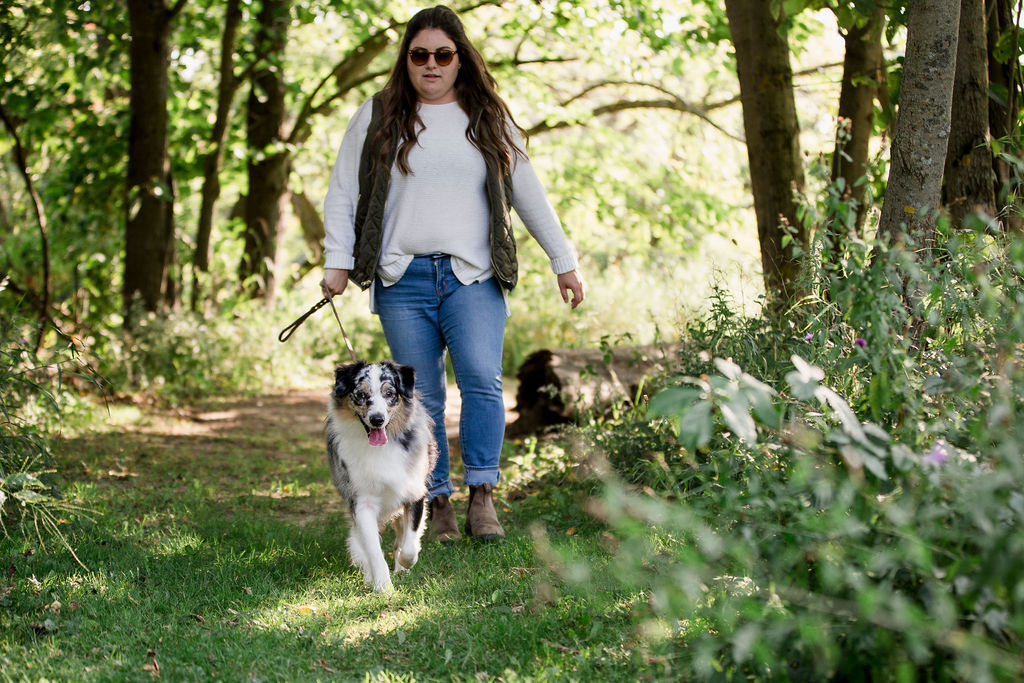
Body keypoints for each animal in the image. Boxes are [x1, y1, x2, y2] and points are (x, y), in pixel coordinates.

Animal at [325, 360, 438, 589]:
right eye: (361, 394)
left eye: (389, 393)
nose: (377, 419)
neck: (381, 447)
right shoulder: (362, 502)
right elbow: (373, 550)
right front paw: (383, 587)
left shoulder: (414, 492)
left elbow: (409, 544)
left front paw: (404, 563)